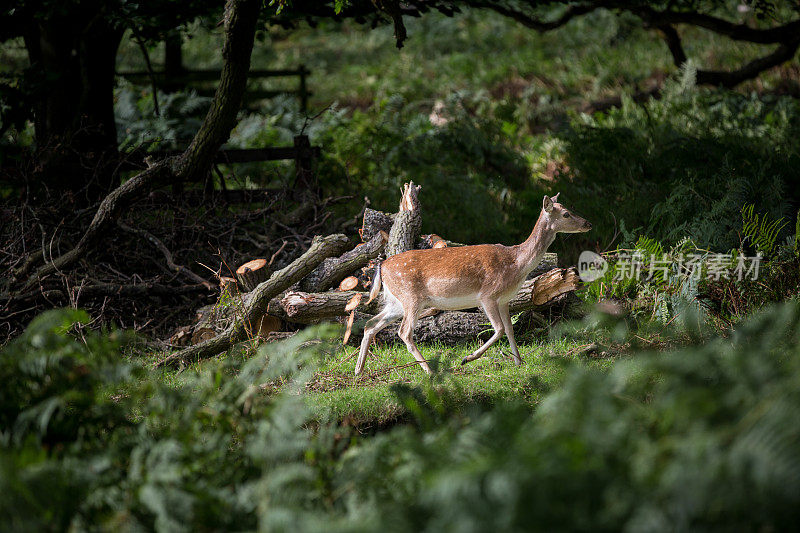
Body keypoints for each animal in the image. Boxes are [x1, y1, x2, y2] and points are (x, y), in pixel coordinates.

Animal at [354, 192, 588, 374]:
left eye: (569, 209)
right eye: (566, 214)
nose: (588, 223)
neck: (516, 264)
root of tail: (382, 266)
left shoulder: (504, 299)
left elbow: (510, 329)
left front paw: (519, 362)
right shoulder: (488, 295)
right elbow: (499, 329)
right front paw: (468, 358)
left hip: (396, 301)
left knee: (370, 324)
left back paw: (359, 369)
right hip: (411, 297)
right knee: (403, 332)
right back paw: (429, 370)